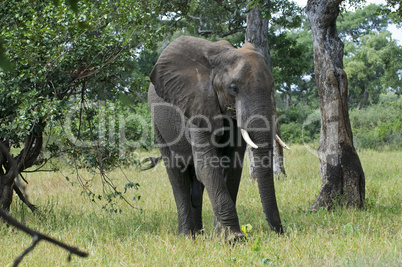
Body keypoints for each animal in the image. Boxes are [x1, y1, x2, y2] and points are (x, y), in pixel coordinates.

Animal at [144, 36, 286, 241]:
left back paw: (198, 234)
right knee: (178, 177)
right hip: (158, 125)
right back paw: (186, 236)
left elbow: (232, 167)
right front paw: (234, 238)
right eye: (233, 88)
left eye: (273, 86)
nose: (281, 232)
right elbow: (207, 165)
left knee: (196, 184)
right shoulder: (196, 103)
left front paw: (221, 235)